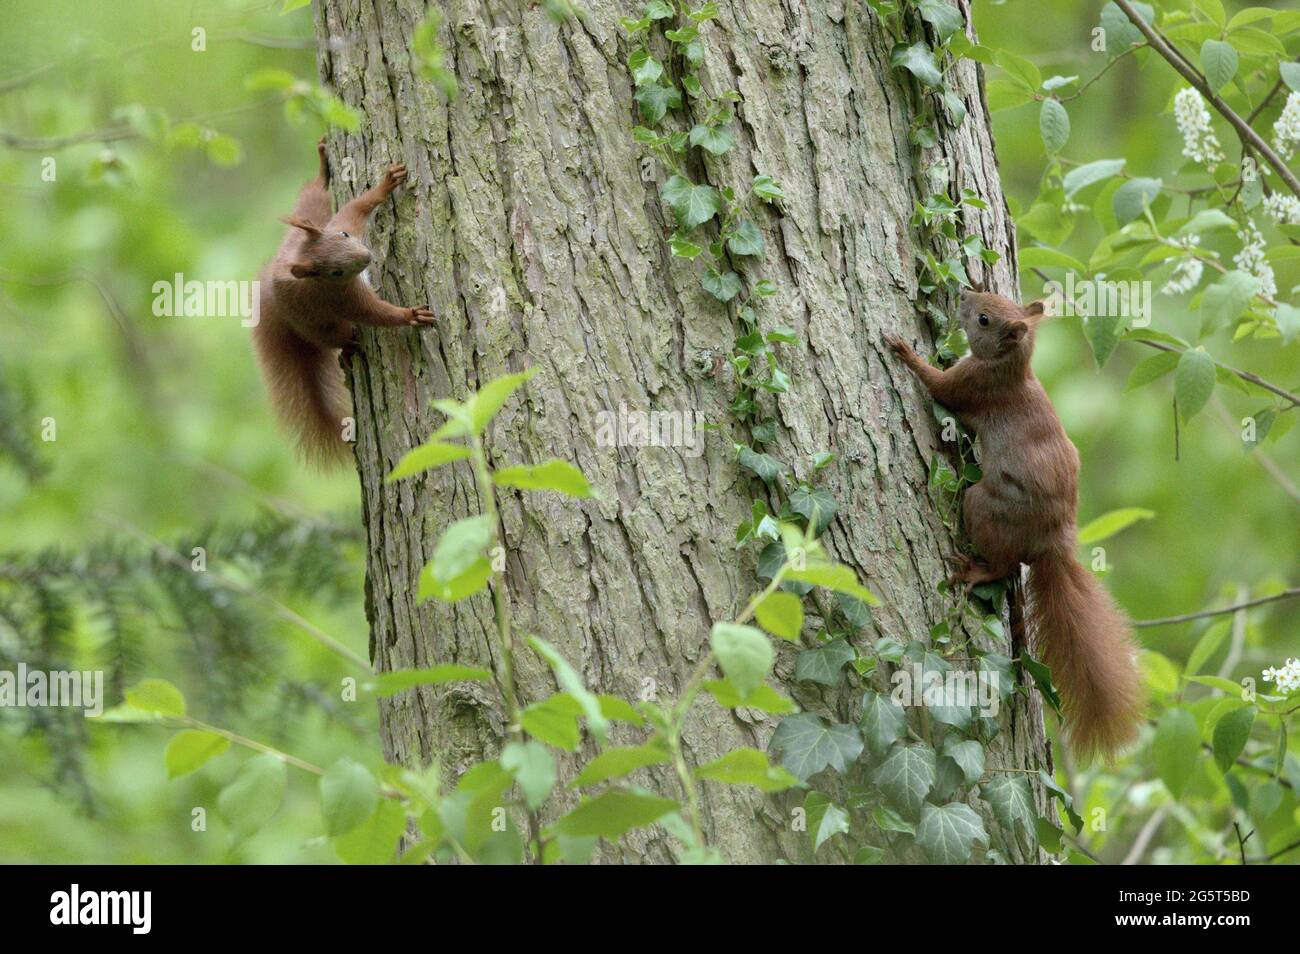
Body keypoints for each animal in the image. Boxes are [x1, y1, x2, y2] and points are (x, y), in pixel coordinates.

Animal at [252, 141, 436, 467]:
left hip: (312, 218)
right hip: (317, 324)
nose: (366, 257)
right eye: (335, 272)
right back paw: (348, 349)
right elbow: (373, 313)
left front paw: (386, 184)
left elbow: (357, 206)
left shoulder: (341, 221)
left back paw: (322, 168)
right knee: (334, 337)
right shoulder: (341, 298)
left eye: (345, 235)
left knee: (313, 196)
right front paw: (409, 315)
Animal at [889, 287, 1144, 764]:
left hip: (984, 508)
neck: (1011, 368)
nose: (963, 293)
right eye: (987, 297)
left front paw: (903, 351)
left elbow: (936, 384)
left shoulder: (971, 386)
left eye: (984, 320)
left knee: (1006, 566)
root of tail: (1053, 543)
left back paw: (975, 571)